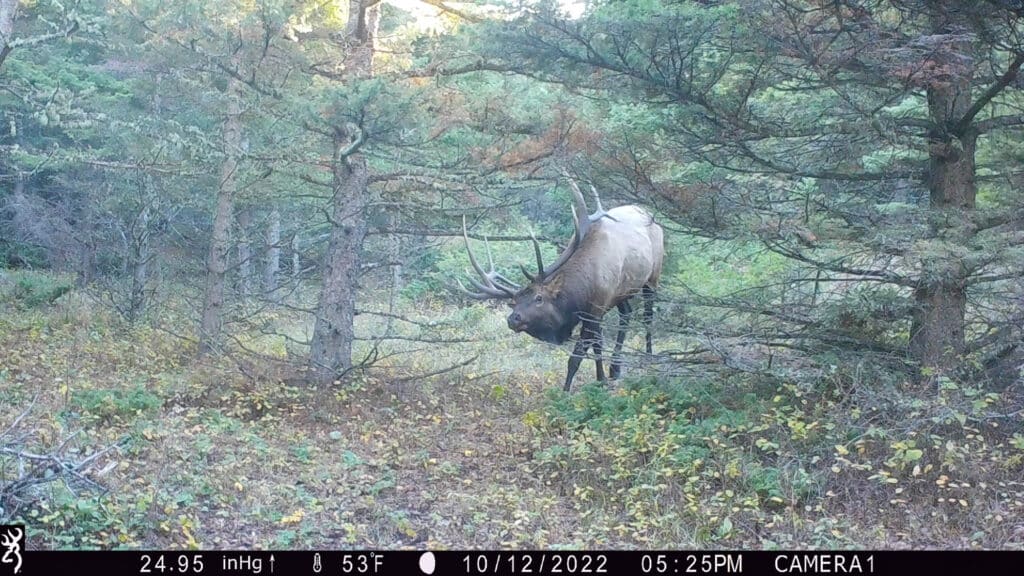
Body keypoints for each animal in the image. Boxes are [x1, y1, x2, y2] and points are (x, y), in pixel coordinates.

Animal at [457, 178, 665, 391]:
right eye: (514, 303)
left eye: (539, 298)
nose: (513, 318)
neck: (581, 291)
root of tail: (648, 214)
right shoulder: (598, 309)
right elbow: (597, 344)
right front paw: (601, 378)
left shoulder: (596, 309)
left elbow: (576, 357)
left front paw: (566, 391)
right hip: (622, 291)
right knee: (627, 312)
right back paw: (615, 368)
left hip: (653, 275)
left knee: (648, 315)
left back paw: (649, 357)